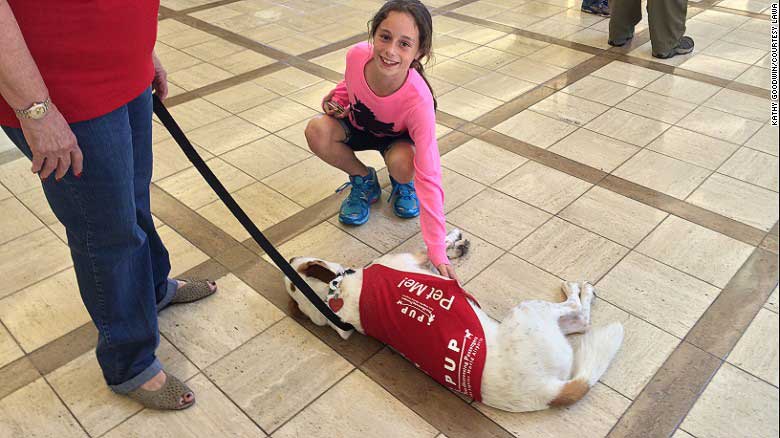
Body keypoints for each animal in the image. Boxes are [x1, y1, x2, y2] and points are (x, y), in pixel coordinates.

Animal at [284, 231, 624, 412]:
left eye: (294, 274)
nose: (288, 258)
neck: (338, 297)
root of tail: (549, 391)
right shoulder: (412, 258)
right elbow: (431, 245)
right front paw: (452, 240)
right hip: (530, 313)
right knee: (580, 316)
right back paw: (580, 291)